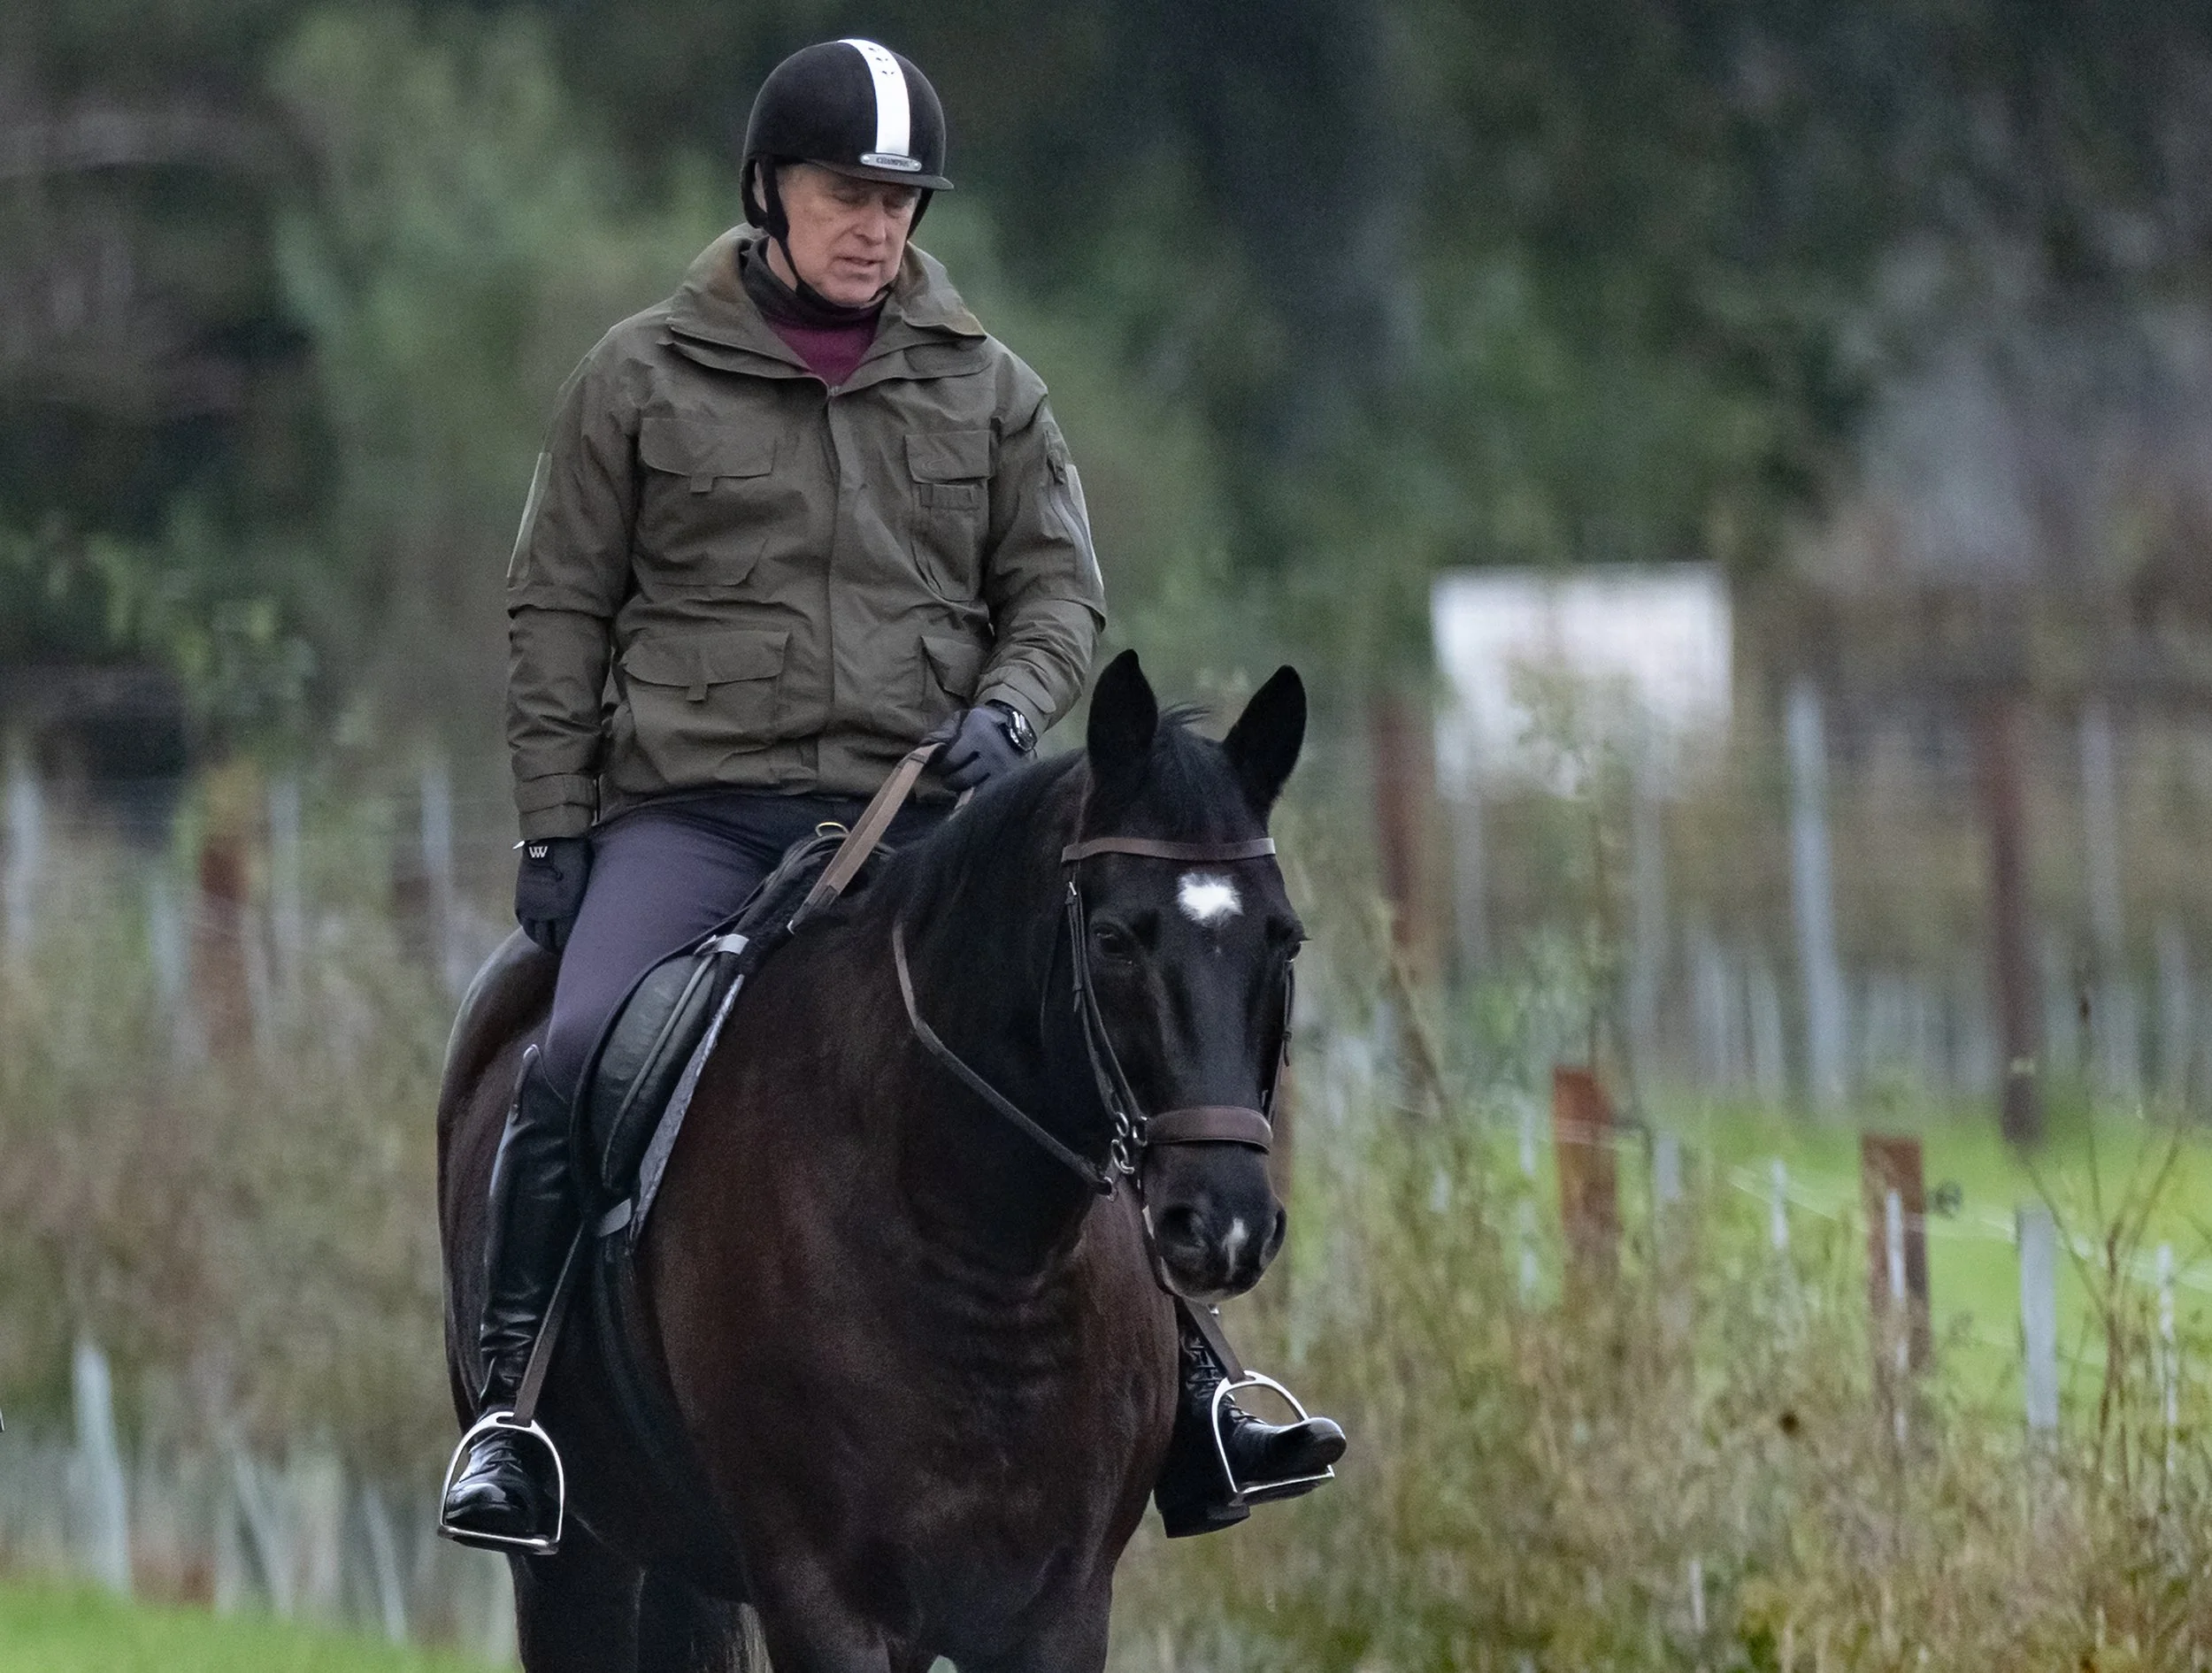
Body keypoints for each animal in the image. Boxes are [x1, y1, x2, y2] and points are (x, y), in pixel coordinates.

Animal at [436, 649, 1309, 1672]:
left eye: (1283, 936)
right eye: (1113, 938)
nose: (1225, 1225)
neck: (979, 1249)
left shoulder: (1058, 1609)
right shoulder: (824, 1603)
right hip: (578, 1567)